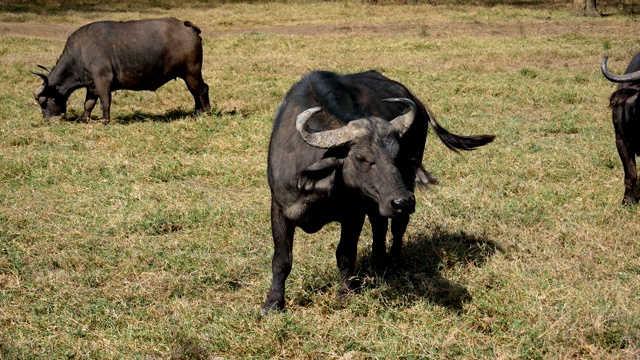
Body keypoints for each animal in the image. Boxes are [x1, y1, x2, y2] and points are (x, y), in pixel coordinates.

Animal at [30, 18, 210, 125]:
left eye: (44, 101)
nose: (47, 119)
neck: (80, 53)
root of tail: (187, 27)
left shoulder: (103, 81)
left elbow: (105, 102)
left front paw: (105, 121)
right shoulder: (91, 85)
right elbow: (88, 104)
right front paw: (84, 119)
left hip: (191, 72)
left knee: (202, 89)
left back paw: (206, 113)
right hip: (187, 75)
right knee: (195, 92)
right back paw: (197, 113)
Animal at [262, 70, 498, 312]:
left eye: (397, 156)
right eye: (360, 158)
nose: (403, 202)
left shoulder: (354, 214)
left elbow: (345, 253)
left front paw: (345, 293)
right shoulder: (279, 209)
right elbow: (281, 260)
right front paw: (273, 302)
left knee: (397, 226)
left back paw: (391, 262)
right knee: (380, 223)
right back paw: (379, 261)